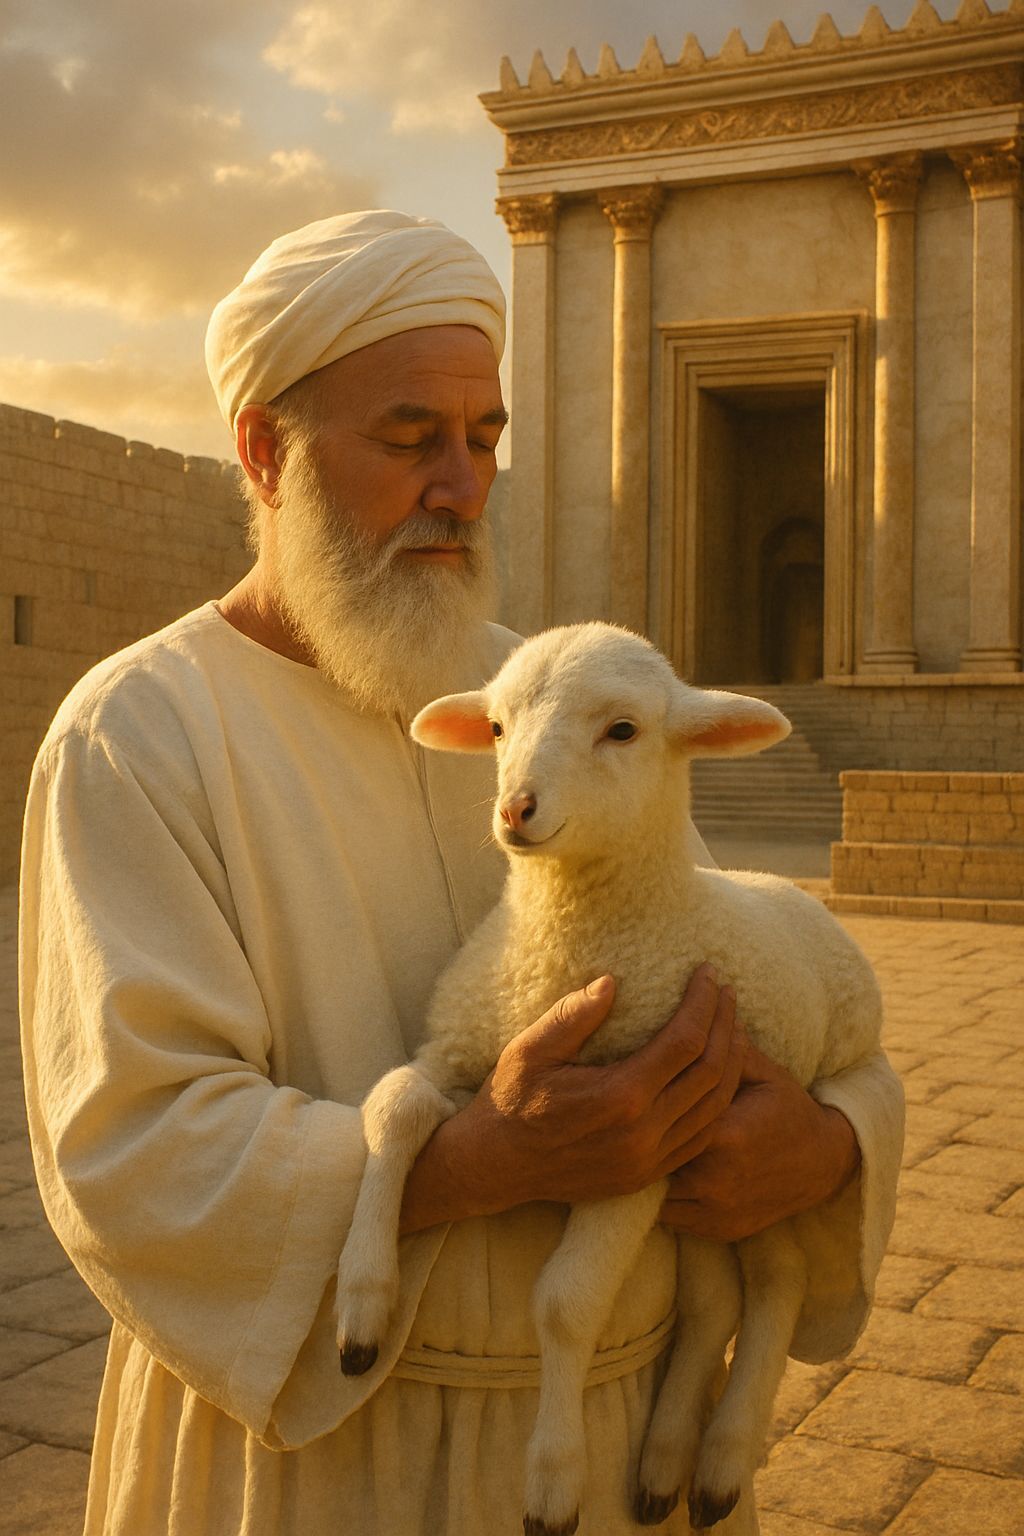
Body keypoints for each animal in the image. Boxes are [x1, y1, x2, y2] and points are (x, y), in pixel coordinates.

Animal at [335, 621, 882, 1536]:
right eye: (495, 727)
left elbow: (564, 1304)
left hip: (769, 1137)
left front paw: (554, 1482)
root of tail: (793, 892)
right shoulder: (462, 1049)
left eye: (622, 730)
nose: (515, 809)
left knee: (778, 1283)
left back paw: (719, 1463)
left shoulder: (642, 1133)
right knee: (715, 1301)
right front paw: (361, 1307)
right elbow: (394, 1107)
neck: (560, 951)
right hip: (704, 1184)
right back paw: (662, 1466)